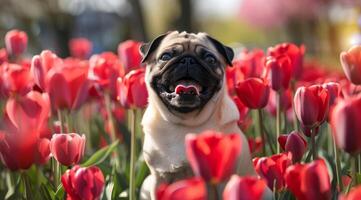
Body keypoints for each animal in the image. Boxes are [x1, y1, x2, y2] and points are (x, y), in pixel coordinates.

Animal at [139, 31, 255, 200]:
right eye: (166, 56)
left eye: (210, 59)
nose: (188, 59)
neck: (187, 123)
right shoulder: (159, 179)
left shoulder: (225, 180)